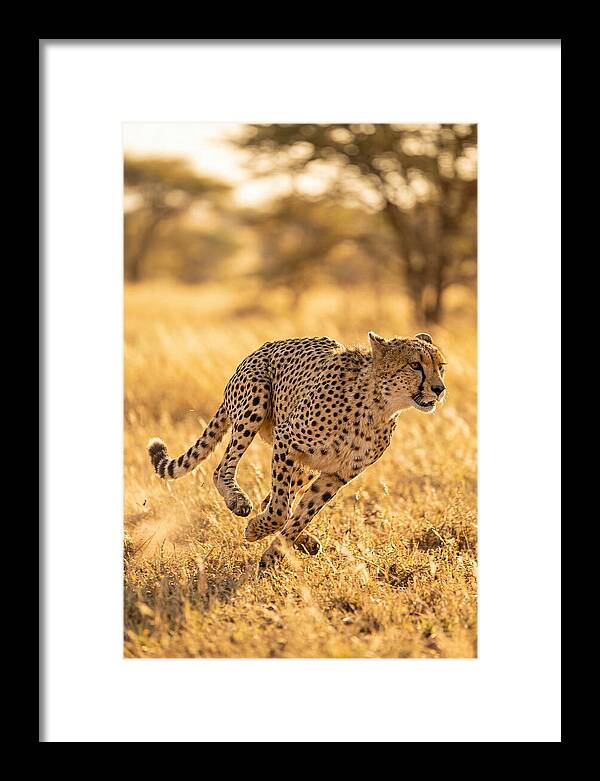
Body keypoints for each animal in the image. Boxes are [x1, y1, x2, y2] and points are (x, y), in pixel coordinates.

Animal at [147, 331, 447, 570]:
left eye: (440, 366)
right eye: (415, 365)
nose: (439, 389)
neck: (379, 406)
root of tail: (258, 350)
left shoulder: (336, 475)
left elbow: (301, 513)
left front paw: (273, 554)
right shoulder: (287, 439)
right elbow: (280, 509)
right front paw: (256, 530)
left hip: (306, 465)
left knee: (272, 499)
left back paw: (305, 542)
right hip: (255, 401)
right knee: (223, 469)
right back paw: (238, 501)